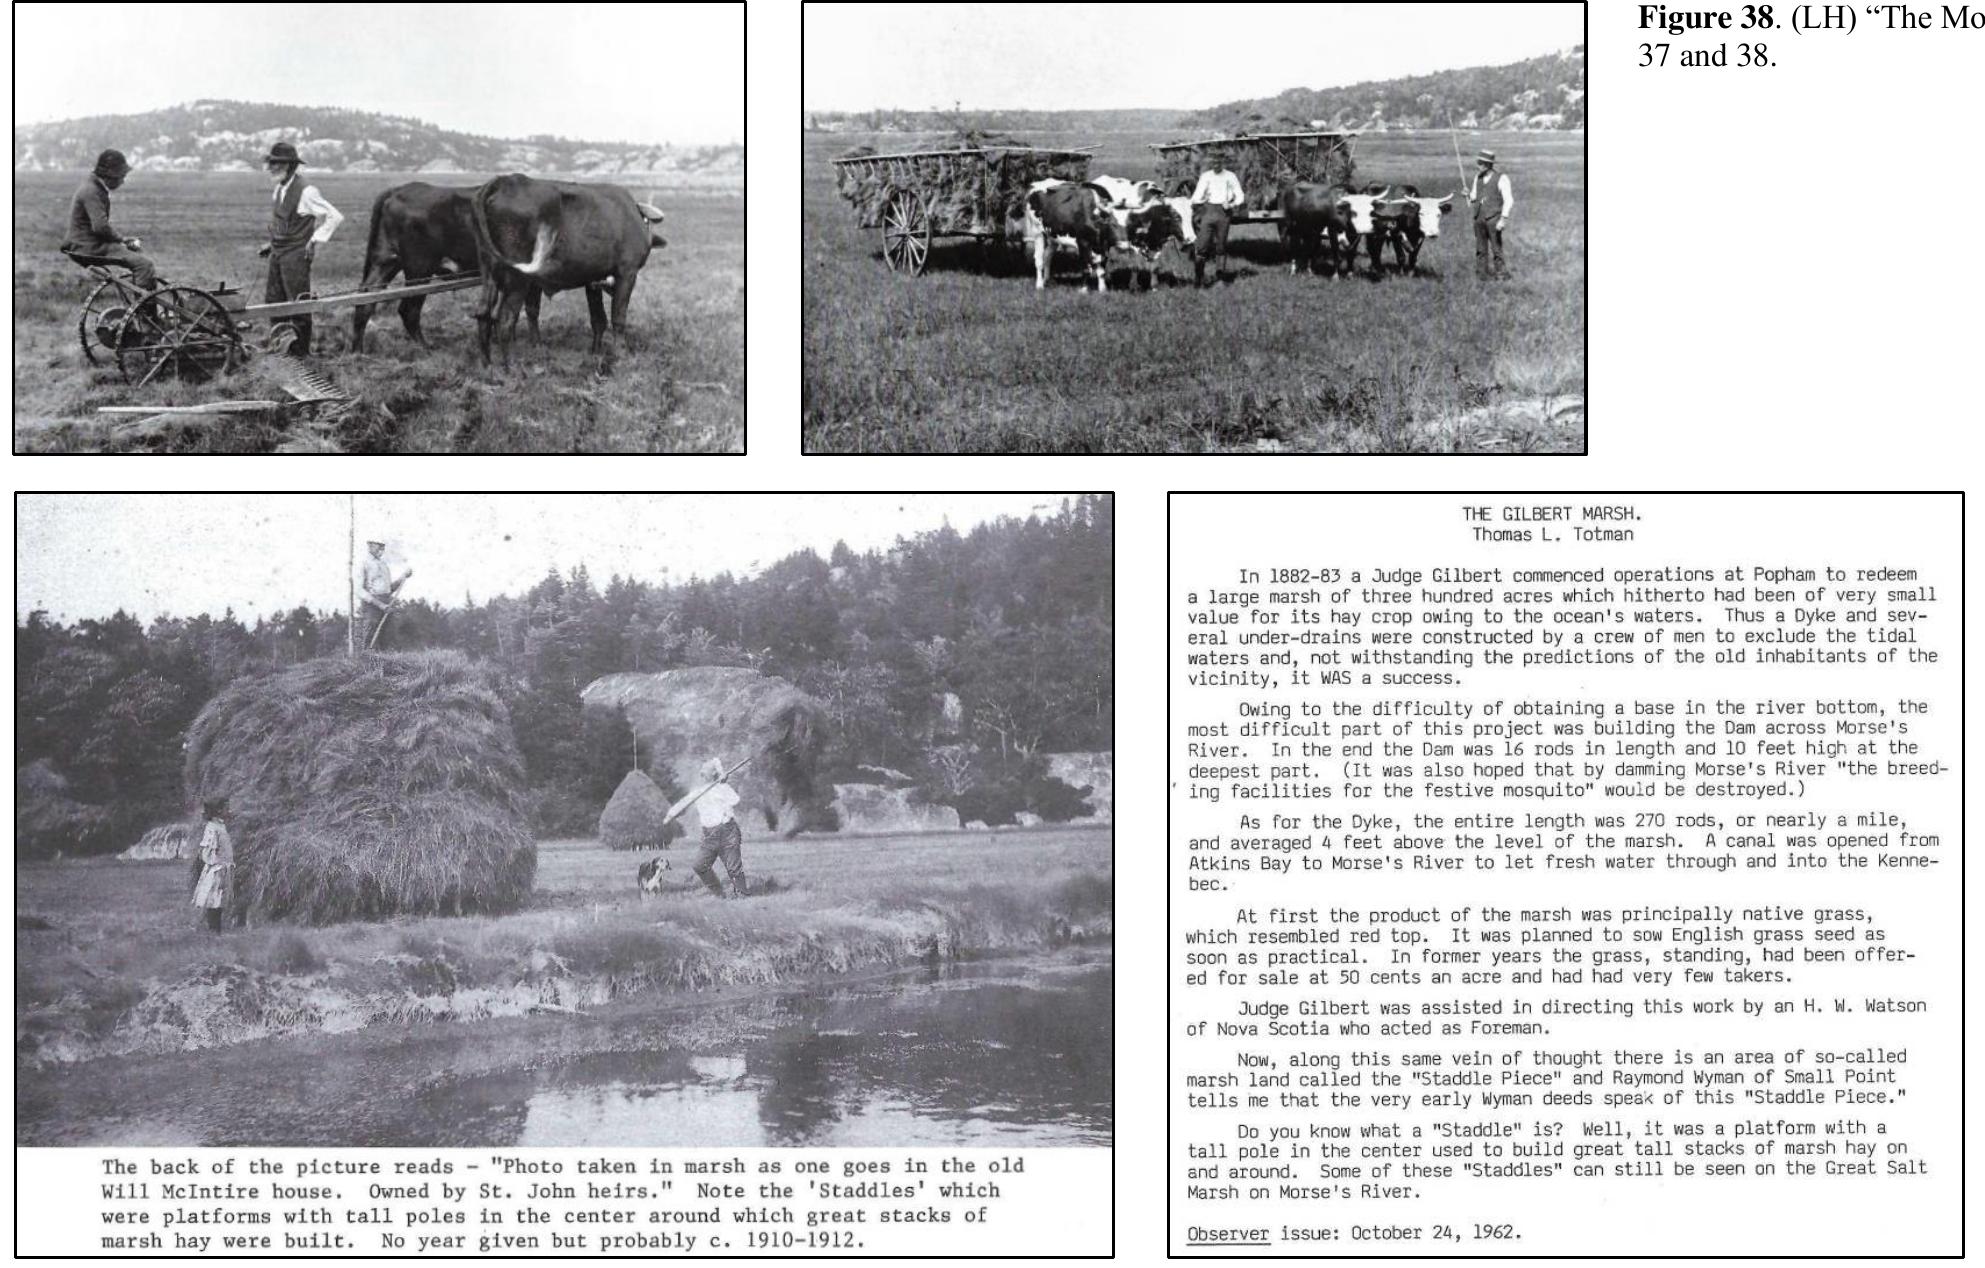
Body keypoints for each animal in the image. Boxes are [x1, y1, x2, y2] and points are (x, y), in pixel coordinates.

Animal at [352, 182, 540, 353]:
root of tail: (397, 190)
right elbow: (530, 310)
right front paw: (535, 344)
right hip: (419, 268)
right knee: (408, 310)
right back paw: (425, 348)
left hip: (387, 262)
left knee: (365, 301)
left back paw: (357, 352)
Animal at [470, 174, 660, 370]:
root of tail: (505, 180)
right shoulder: (627, 272)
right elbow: (618, 317)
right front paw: (622, 356)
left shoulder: (593, 279)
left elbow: (598, 319)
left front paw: (595, 353)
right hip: (517, 279)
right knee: (504, 320)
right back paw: (514, 367)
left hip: (489, 273)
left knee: (483, 313)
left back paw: (486, 364)